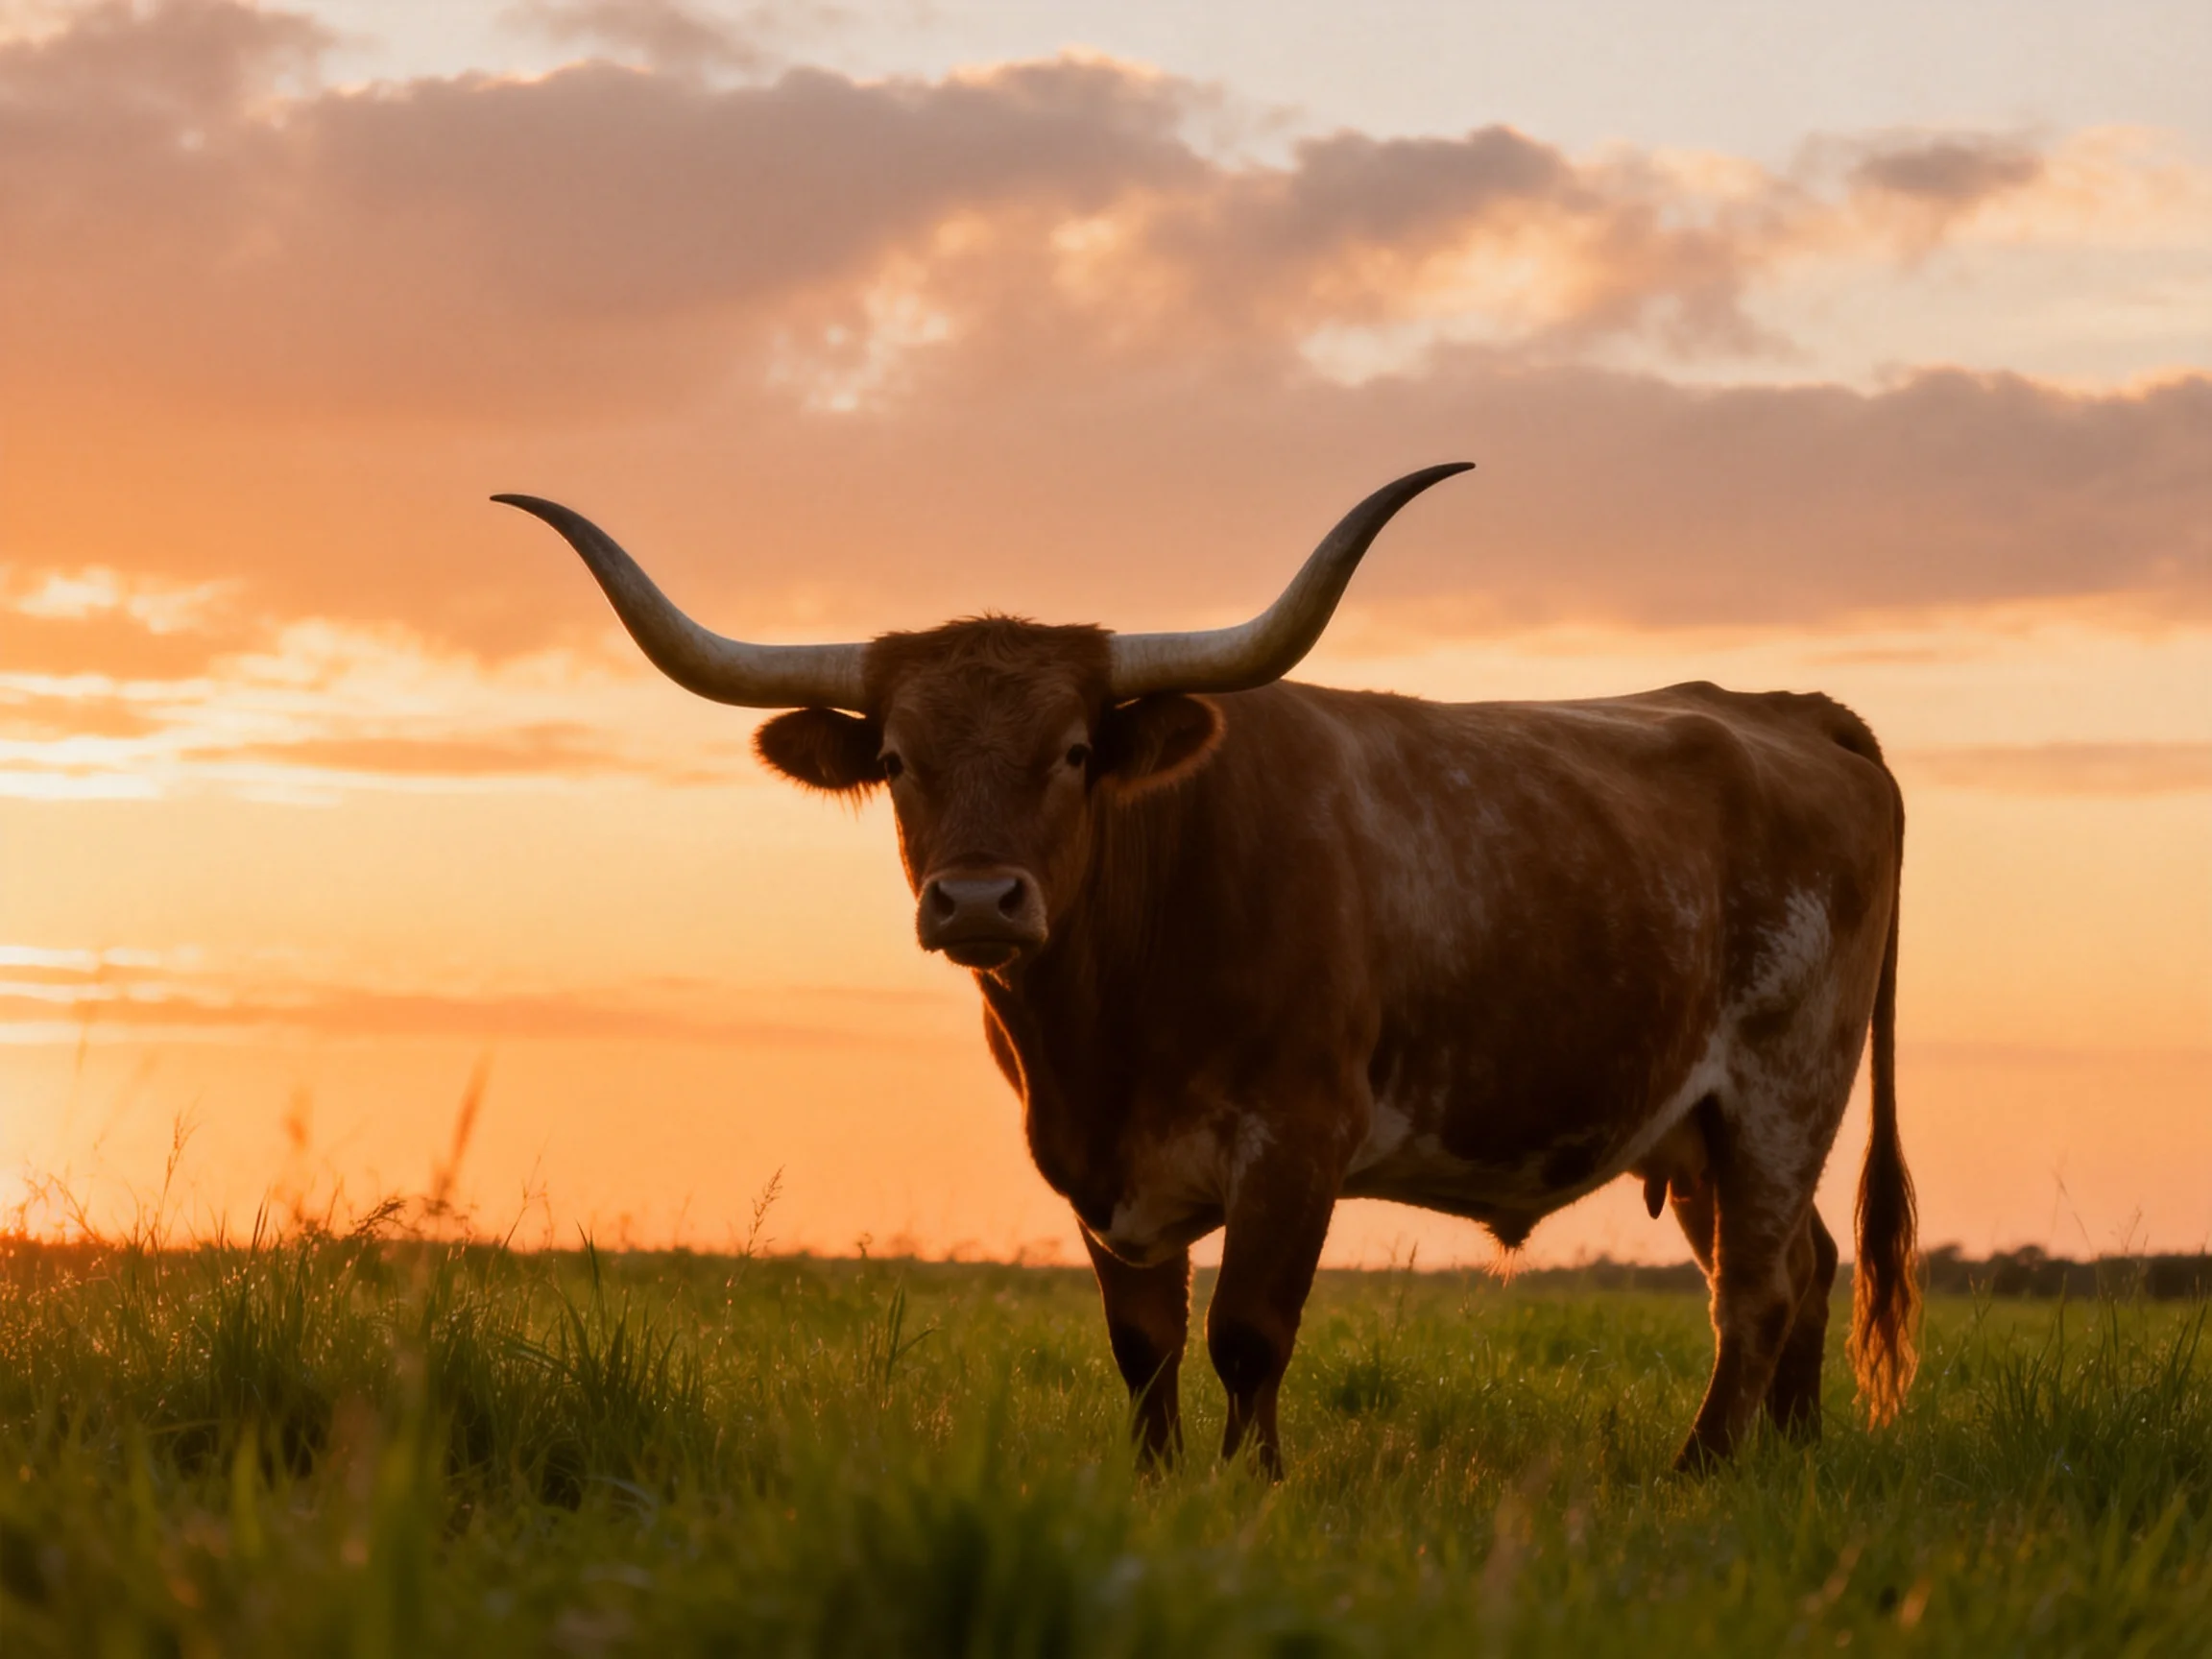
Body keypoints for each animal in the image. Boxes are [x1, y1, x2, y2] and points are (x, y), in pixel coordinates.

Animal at [495, 465, 1918, 1474]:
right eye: (897, 758)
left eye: (1075, 750)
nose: (976, 900)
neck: (1106, 1026)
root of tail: (1789, 711)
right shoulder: (1095, 1171)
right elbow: (1143, 1345)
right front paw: (1156, 1483)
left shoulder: (1296, 1141)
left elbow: (1247, 1333)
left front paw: (1254, 1485)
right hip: (1696, 1124)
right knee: (1800, 1267)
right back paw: (1786, 1464)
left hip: (1786, 1083)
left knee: (1756, 1288)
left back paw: (1701, 1472)